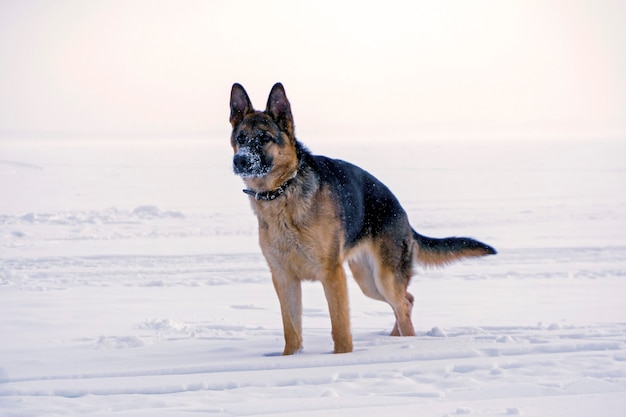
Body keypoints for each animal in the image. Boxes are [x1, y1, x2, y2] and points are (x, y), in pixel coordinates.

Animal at [227, 82, 494, 354]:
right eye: (241, 138)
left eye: (264, 138)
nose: (240, 161)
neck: (283, 192)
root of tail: (402, 212)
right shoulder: (284, 278)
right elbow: (292, 330)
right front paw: (291, 357)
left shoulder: (332, 275)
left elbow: (340, 327)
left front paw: (342, 356)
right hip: (368, 281)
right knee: (407, 300)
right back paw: (395, 339)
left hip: (384, 279)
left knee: (402, 304)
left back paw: (407, 343)